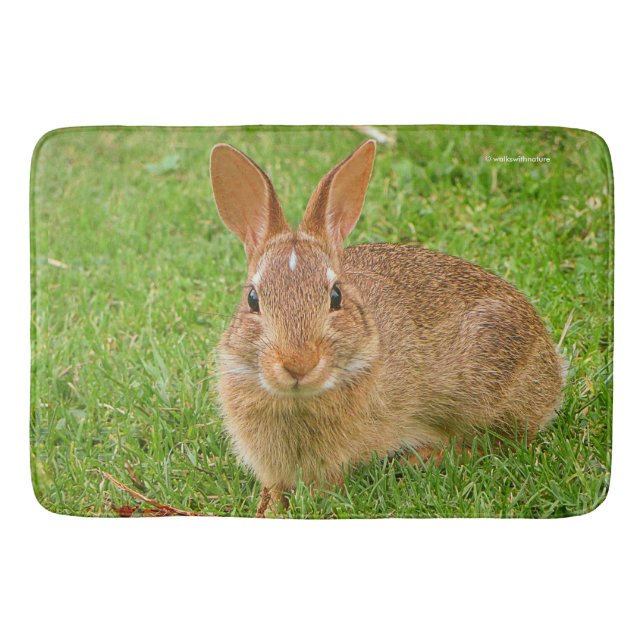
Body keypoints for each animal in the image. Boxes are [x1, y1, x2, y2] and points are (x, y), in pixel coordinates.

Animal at [209, 139, 566, 516]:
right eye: (252, 299)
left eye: (336, 296)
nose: (298, 363)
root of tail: (553, 367)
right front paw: (270, 507)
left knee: (502, 443)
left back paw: (421, 458)